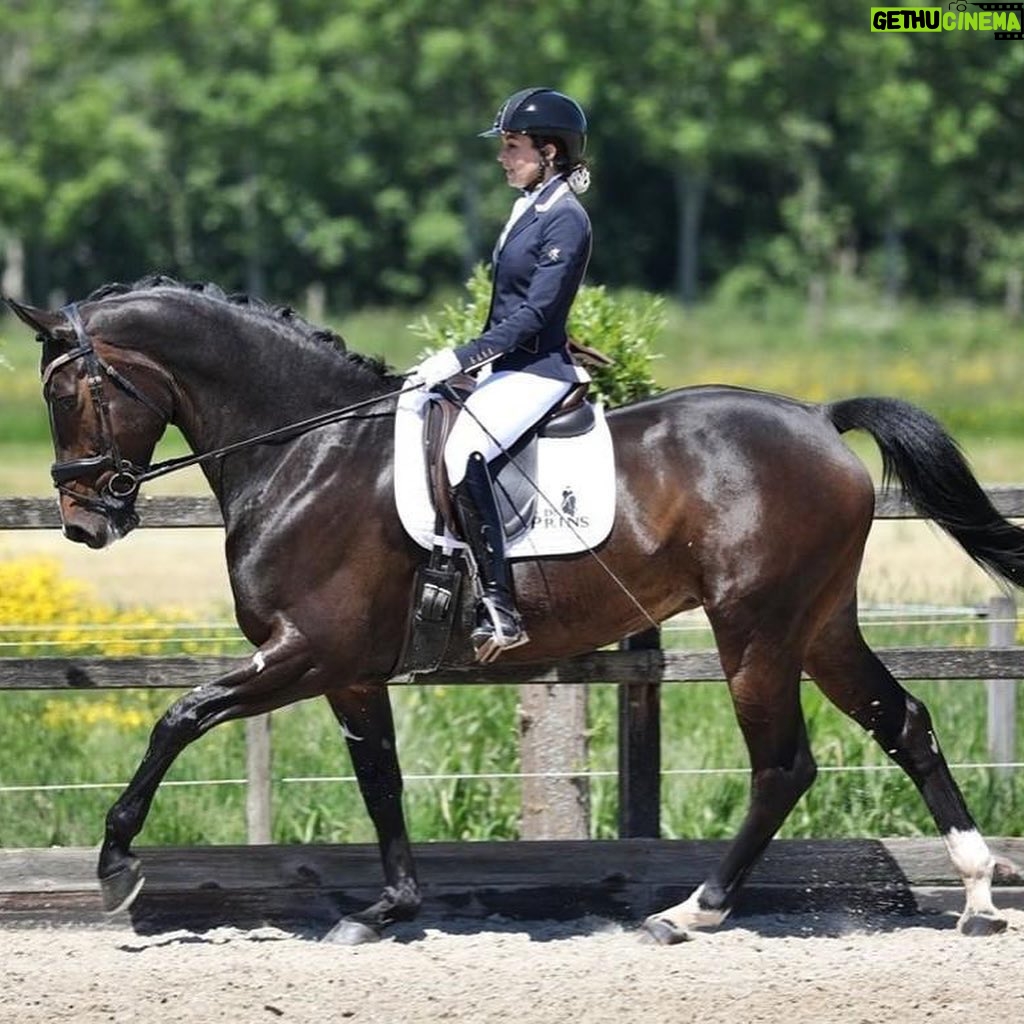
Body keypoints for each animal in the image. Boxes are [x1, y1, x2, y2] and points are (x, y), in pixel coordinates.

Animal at [8, 278, 1024, 942]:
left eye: (65, 391)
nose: (84, 521)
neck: (307, 452)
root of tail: (818, 419)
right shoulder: (351, 670)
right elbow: (380, 780)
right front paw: (389, 909)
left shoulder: (307, 651)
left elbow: (179, 717)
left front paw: (116, 869)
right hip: (818, 624)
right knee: (905, 721)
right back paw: (977, 893)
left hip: (756, 631)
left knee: (783, 766)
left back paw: (689, 911)